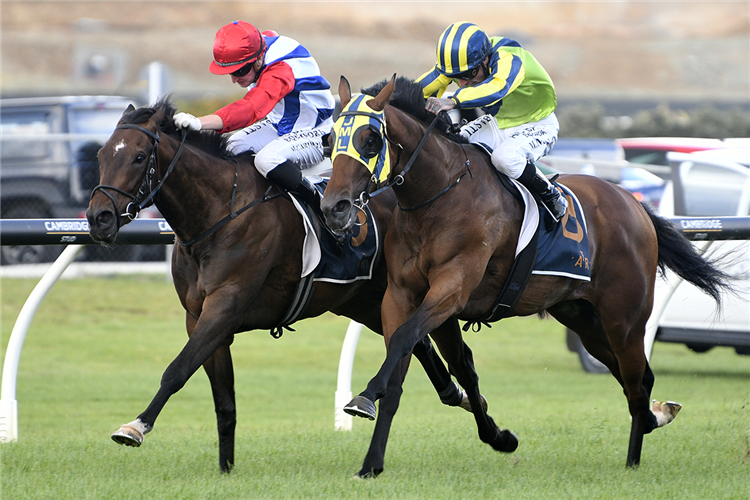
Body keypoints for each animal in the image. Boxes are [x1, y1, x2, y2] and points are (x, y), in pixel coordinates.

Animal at [86, 99, 476, 474]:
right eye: (101, 155)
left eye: (139, 157)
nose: (97, 218)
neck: (220, 212)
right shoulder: (199, 317)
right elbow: (224, 400)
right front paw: (225, 468)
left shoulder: (224, 306)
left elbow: (176, 370)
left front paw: (135, 427)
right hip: (367, 302)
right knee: (418, 343)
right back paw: (455, 394)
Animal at [324, 75, 736, 468]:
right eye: (330, 139)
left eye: (370, 140)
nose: (334, 208)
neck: (440, 195)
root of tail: (635, 205)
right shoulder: (402, 295)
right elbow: (408, 363)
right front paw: (372, 460)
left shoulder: (451, 290)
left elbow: (406, 339)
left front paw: (365, 396)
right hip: (582, 317)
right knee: (634, 376)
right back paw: (654, 419)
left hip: (626, 319)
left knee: (636, 380)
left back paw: (634, 459)